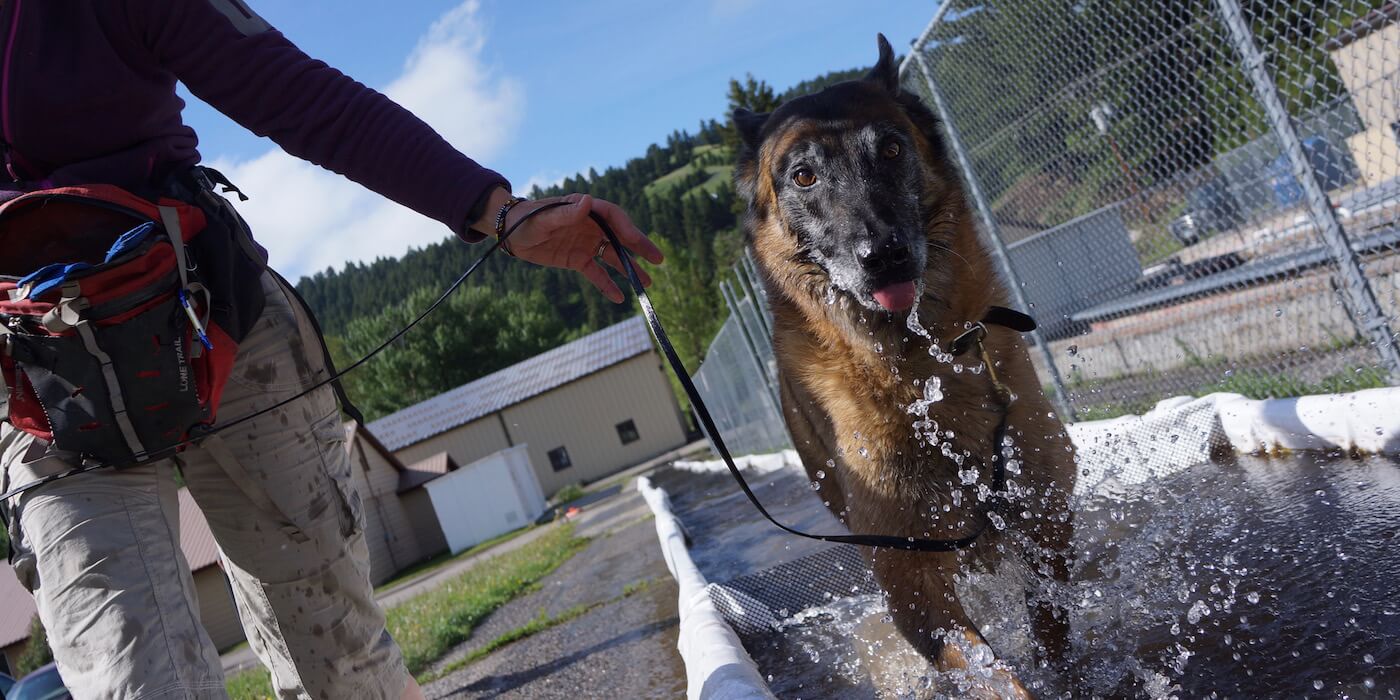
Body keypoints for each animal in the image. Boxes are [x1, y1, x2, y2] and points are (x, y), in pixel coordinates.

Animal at [739, 35, 1075, 691]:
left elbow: (1052, 629)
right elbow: (993, 675)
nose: (884, 256)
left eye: (892, 149)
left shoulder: (1045, 522)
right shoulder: (913, 585)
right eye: (803, 175)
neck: (921, 364)